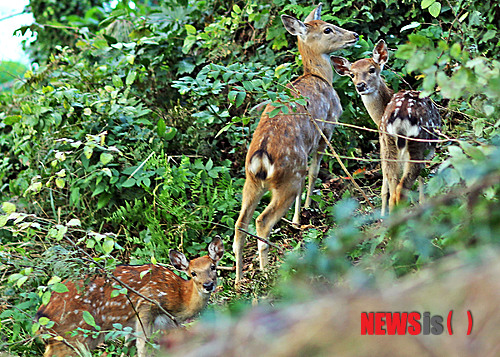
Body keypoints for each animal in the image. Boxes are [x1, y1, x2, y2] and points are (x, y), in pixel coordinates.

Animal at [38, 236, 225, 356]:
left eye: (213, 267)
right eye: (193, 273)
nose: (208, 285)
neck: (178, 299)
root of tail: (42, 313)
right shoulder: (145, 307)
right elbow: (143, 347)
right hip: (75, 334)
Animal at [232, 2, 358, 280]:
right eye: (328, 29)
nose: (354, 34)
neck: (320, 77)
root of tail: (261, 158)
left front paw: (297, 220)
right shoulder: (327, 128)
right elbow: (314, 171)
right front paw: (307, 211)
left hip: (251, 182)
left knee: (239, 225)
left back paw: (238, 281)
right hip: (286, 177)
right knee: (262, 221)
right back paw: (266, 273)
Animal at [332, 40, 442, 216]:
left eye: (371, 69)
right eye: (352, 74)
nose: (360, 86)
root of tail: (400, 117)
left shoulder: (382, 143)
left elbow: (385, 185)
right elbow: (421, 179)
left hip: (389, 142)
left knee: (393, 186)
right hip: (417, 141)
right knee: (402, 187)